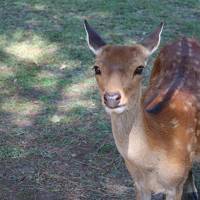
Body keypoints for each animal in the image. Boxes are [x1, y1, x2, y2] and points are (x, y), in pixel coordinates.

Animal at [83, 20, 199, 200]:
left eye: (139, 68)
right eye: (96, 68)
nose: (112, 97)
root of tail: (185, 38)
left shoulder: (174, 187)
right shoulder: (138, 183)